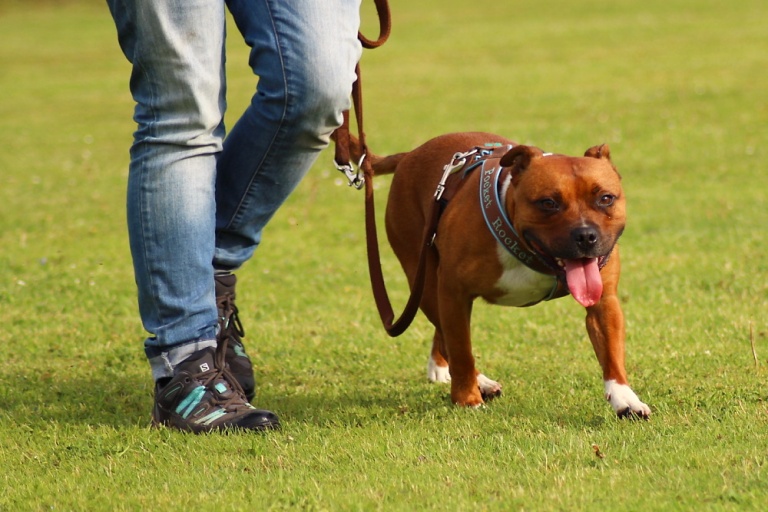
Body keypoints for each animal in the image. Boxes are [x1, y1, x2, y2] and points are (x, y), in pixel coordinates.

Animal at [354, 130, 648, 418]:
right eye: (548, 203)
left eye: (606, 198)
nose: (586, 235)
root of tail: (409, 155)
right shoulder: (453, 293)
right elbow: (462, 350)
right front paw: (467, 399)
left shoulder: (604, 301)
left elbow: (611, 354)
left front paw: (625, 399)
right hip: (424, 282)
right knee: (447, 336)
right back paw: (477, 382)